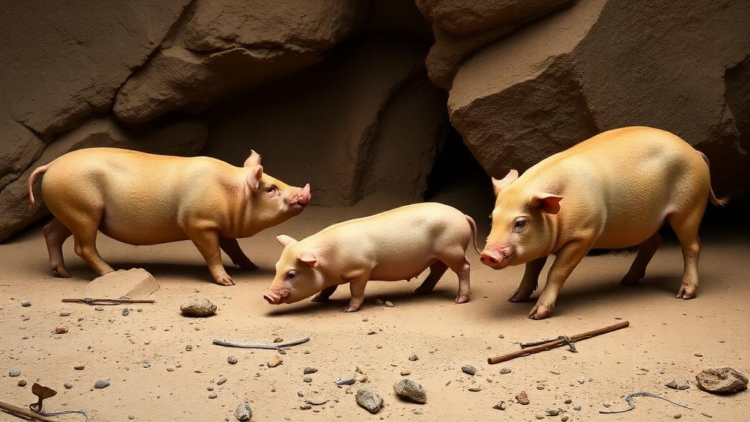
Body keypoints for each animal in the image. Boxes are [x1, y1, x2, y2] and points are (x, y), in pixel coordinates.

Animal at [27, 148, 311, 285]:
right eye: (270, 189)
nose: (304, 192)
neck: (233, 194)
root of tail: (50, 166)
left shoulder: (220, 226)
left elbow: (233, 247)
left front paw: (251, 267)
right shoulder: (198, 223)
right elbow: (213, 253)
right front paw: (228, 282)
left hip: (67, 208)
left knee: (51, 232)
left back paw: (62, 274)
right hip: (83, 209)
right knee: (83, 246)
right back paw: (111, 273)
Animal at [263, 203, 481, 312]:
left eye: (292, 274)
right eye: (277, 267)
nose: (267, 296)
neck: (328, 261)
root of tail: (462, 215)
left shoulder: (361, 270)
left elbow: (356, 291)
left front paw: (347, 309)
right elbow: (328, 288)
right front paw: (317, 300)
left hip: (452, 249)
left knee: (464, 267)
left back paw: (459, 300)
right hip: (439, 255)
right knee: (438, 270)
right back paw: (419, 291)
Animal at [479, 126, 727, 320]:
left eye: (520, 223)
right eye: (492, 218)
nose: (487, 255)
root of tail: (694, 151)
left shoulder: (584, 235)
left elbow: (556, 271)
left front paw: (536, 315)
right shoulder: (543, 242)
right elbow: (531, 269)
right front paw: (514, 299)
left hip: (689, 207)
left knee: (692, 245)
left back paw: (684, 295)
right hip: (646, 221)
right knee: (653, 241)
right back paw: (626, 281)